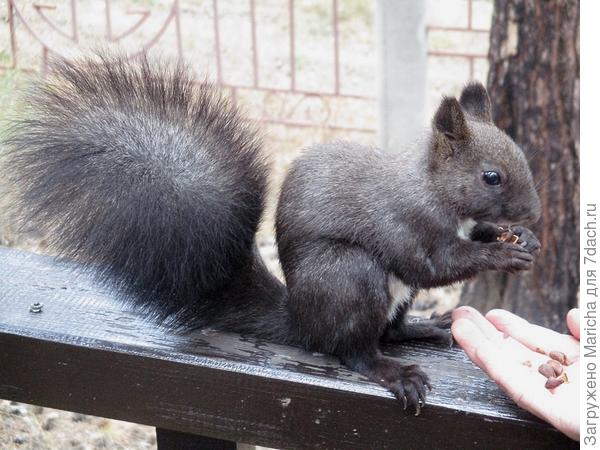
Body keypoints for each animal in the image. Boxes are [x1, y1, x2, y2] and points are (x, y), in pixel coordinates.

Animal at [0, 54, 540, 416]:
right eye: (492, 176)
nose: (534, 213)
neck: (435, 191)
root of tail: (299, 319)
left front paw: (516, 238)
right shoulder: (406, 225)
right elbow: (434, 264)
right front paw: (501, 255)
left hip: (383, 296)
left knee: (389, 329)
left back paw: (424, 327)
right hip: (348, 277)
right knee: (353, 349)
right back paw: (393, 370)